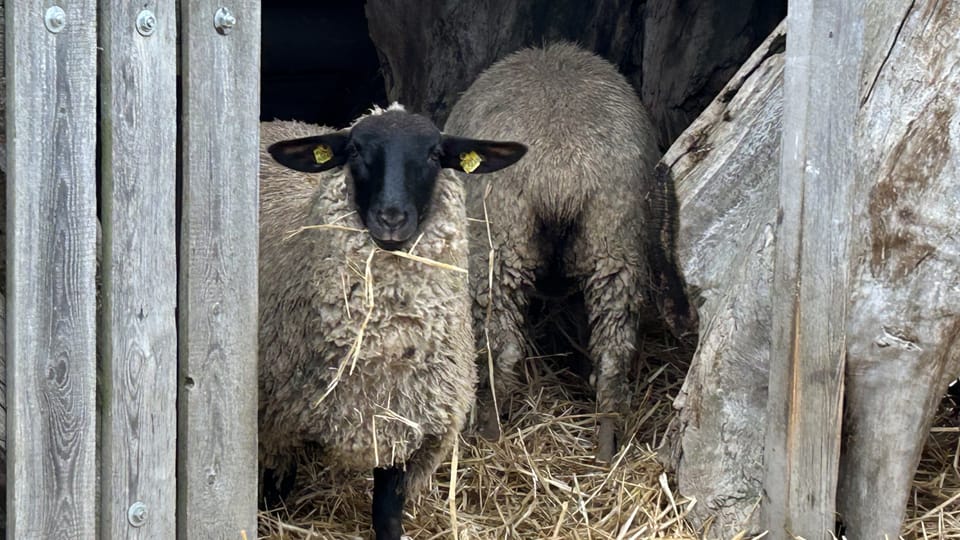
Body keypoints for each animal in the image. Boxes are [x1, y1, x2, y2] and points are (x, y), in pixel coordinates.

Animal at [255, 105, 524, 540]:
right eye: (355, 151)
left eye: (435, 154)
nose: (392, 218)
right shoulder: (275, 431)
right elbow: (270, 501)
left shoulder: (408, 431)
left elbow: (387, 517)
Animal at [446, 43, 672, 464]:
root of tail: (560, 168)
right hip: (614, 241)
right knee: (613, 356)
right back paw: (605, 449)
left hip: (500, 243)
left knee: (502, 348)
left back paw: (490, 435)